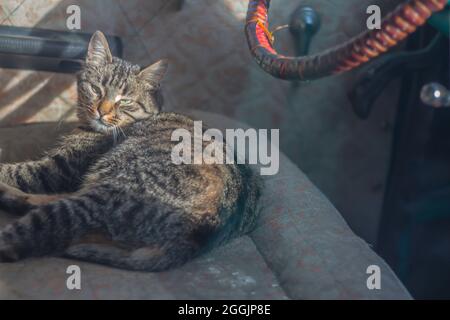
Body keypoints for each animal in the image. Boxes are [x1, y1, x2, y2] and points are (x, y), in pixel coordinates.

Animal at [0, 31, 260, 272]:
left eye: (124, 100)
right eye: (96, 89)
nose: (102, 111)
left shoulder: (59, 168)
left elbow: (16, 171)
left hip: (104, 195)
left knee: (35, 231)